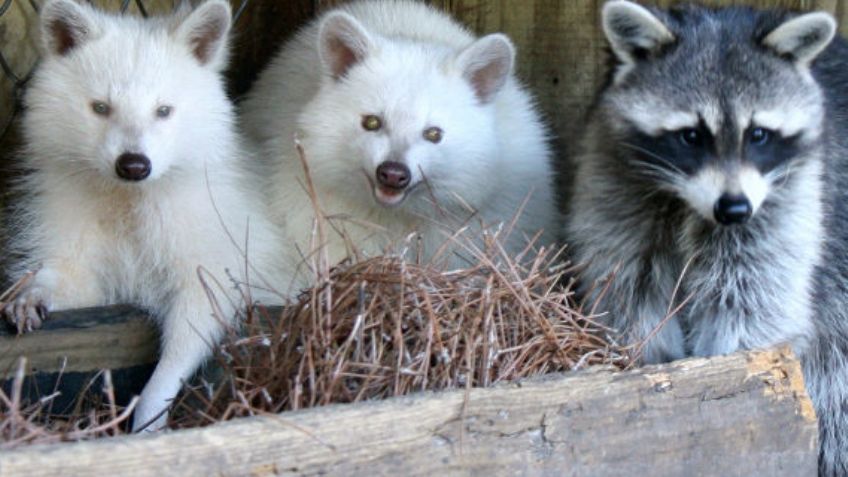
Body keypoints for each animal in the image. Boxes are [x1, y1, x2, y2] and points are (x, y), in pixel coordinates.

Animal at [2, 0, 284, 432]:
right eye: (101, 108)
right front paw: (37, 286)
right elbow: (76, 278)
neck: (128, 195)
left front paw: (152, 406)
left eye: (163, 111)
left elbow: (199, 315)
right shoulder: (77, 219)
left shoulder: (216, 246)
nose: (134, 164)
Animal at [564, 0, 848, 472]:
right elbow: (629, 289)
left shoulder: (794, 197)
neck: (688, 203)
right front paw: (652, 366)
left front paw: (725, 377)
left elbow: (755, 305)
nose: (733, 209)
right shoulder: (615, 180)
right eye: (691, 135)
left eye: (758, 134)